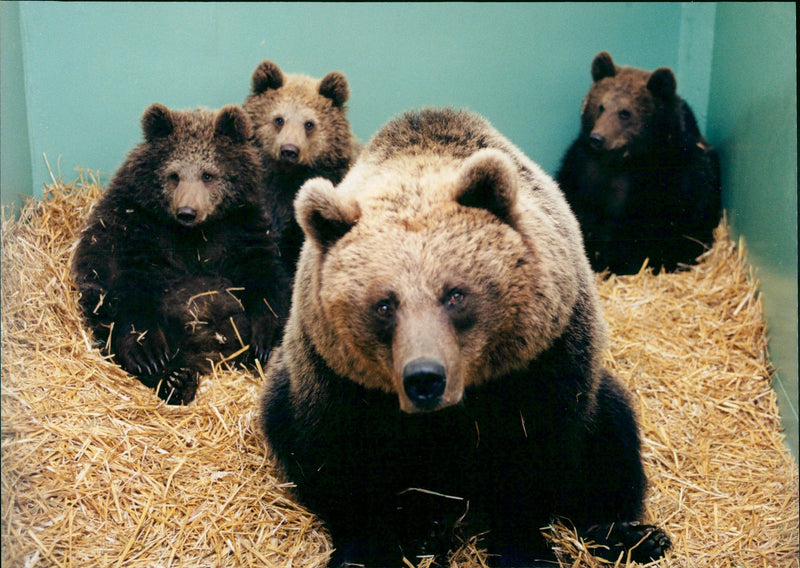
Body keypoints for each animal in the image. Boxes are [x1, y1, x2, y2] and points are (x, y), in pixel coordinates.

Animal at [71, 102, 290, 404]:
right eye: (174, 175)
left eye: (208, 174)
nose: (187, 211)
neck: (196, 234)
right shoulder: (136, 229)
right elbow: (130, 290)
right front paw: (149, 355)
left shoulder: (242, 228)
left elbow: (264, 277)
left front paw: (266, 340)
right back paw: (175, 379)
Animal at [260, 108, 668, 564]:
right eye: (384, 304)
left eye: (455, 294)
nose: (425, 377)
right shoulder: (339, 383)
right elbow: (342, 469)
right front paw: (366, 551)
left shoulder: (544, 365)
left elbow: (533, 459)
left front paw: (524, 551)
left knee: (613, 439)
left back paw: (630, 535)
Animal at [556, 50, 720, 276]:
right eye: (601, 106)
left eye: (625, 112)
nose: (597, 138)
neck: (627, 161)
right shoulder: (582, 168)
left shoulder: (675, 180)